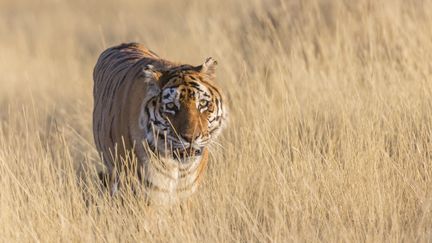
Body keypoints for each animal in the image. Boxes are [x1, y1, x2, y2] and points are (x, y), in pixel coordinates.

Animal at [93, 42, 228, 205]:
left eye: (202, 103)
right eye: (170, 106)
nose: (191, 138)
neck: (178, 166)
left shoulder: (187, 193)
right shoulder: (144, 192)